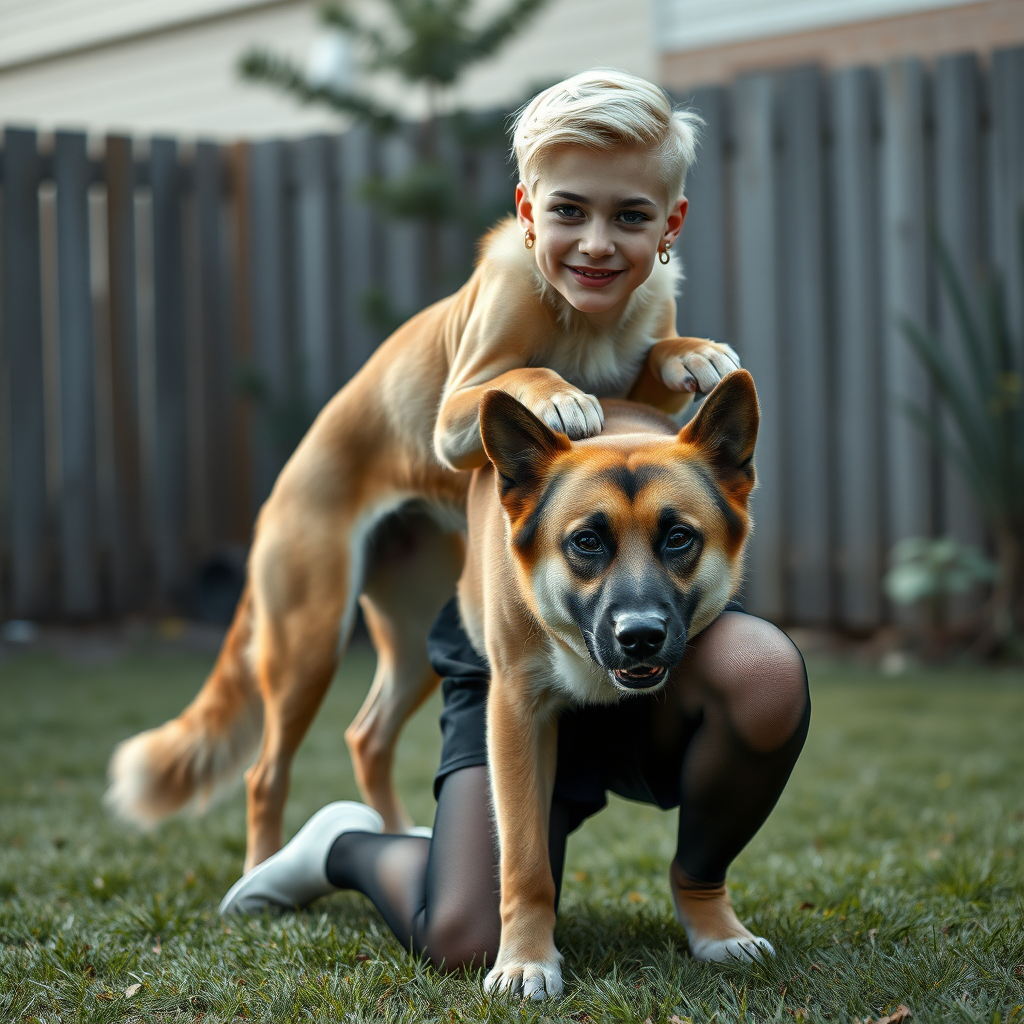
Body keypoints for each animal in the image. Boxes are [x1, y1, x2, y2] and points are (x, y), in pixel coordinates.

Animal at [105, 218, 737, 872]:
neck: (589, 319)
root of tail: (280, 491)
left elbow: (655, 363)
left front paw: (690, 352)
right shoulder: (463, 397)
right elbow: (513, 378)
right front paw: (558, 394)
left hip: (412, 640)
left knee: (367, 738)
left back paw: (397, 835)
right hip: (308, 644)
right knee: (265, 775)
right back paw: (261, 869)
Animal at [460, 368, 757, 999]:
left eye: (678, 538)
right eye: (587, 542)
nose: (639, 637)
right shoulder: (516, 715)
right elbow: (526, 863)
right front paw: (525, 959)